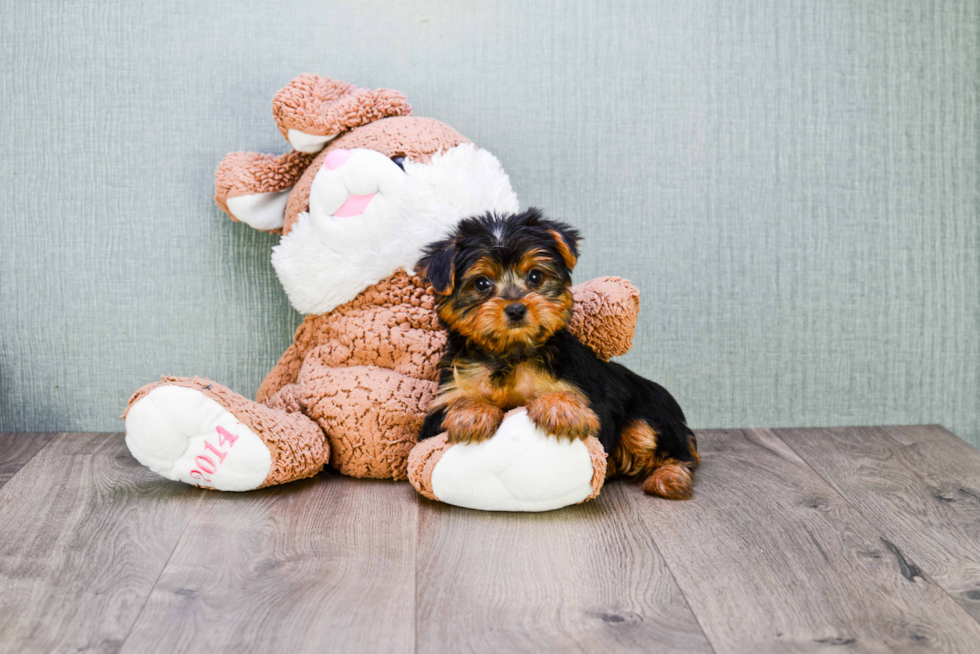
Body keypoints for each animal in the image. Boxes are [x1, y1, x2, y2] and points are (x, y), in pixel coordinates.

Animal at [418, 210, 700, 502]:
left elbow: (576, 405)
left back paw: (669, 478)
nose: (516, 309)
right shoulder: (437, 412)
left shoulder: (586, 392)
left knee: (673, 450)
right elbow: (455, 405)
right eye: (482, 283)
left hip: (649, 417)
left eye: (535, 276)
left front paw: (561, 408)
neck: (510, 351)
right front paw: (472, 413)